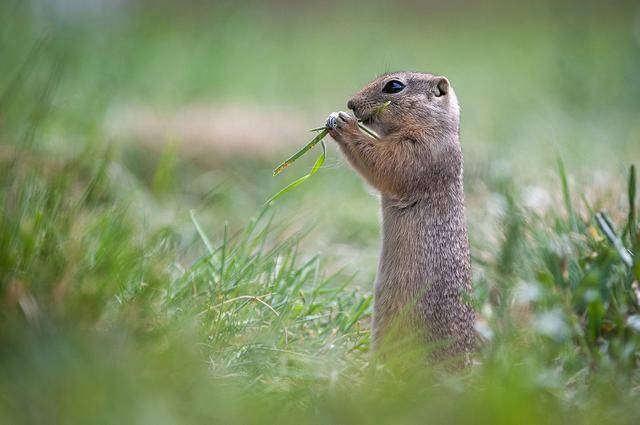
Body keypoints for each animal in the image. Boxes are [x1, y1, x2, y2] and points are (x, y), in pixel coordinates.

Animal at [324, 71, 476, 362]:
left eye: (394, 86)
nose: (350, 103)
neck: (438, 128)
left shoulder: (419, 151)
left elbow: (383, 162)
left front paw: (343, 123)